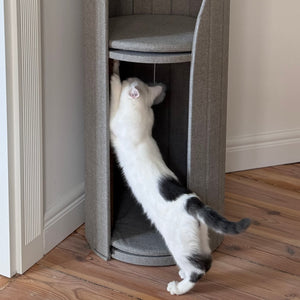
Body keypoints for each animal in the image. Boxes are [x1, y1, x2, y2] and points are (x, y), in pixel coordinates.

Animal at [109, 61, 250, 296]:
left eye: (132, 79)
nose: (129, 76)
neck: (143, 116)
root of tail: (193, 203)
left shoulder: (115, 122)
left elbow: (114, 96)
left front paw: (115, 73)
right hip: (199, 238)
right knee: (207, 260)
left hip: (180, 244)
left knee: (199, 269)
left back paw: (178, 287)